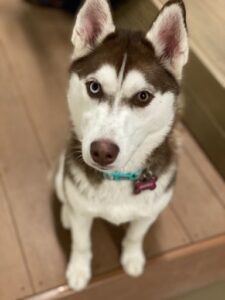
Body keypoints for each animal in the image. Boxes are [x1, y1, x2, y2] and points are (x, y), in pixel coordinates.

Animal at [54, 0, 188, 290]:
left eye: (143, 96)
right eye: (94, 87)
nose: (102, 151)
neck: (118, 178)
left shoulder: (149, 213)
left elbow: (136, 235)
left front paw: (133, 258)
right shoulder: (82, 210)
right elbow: (81, 242)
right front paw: (79, 270)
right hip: (61, 176)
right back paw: (66, 215)